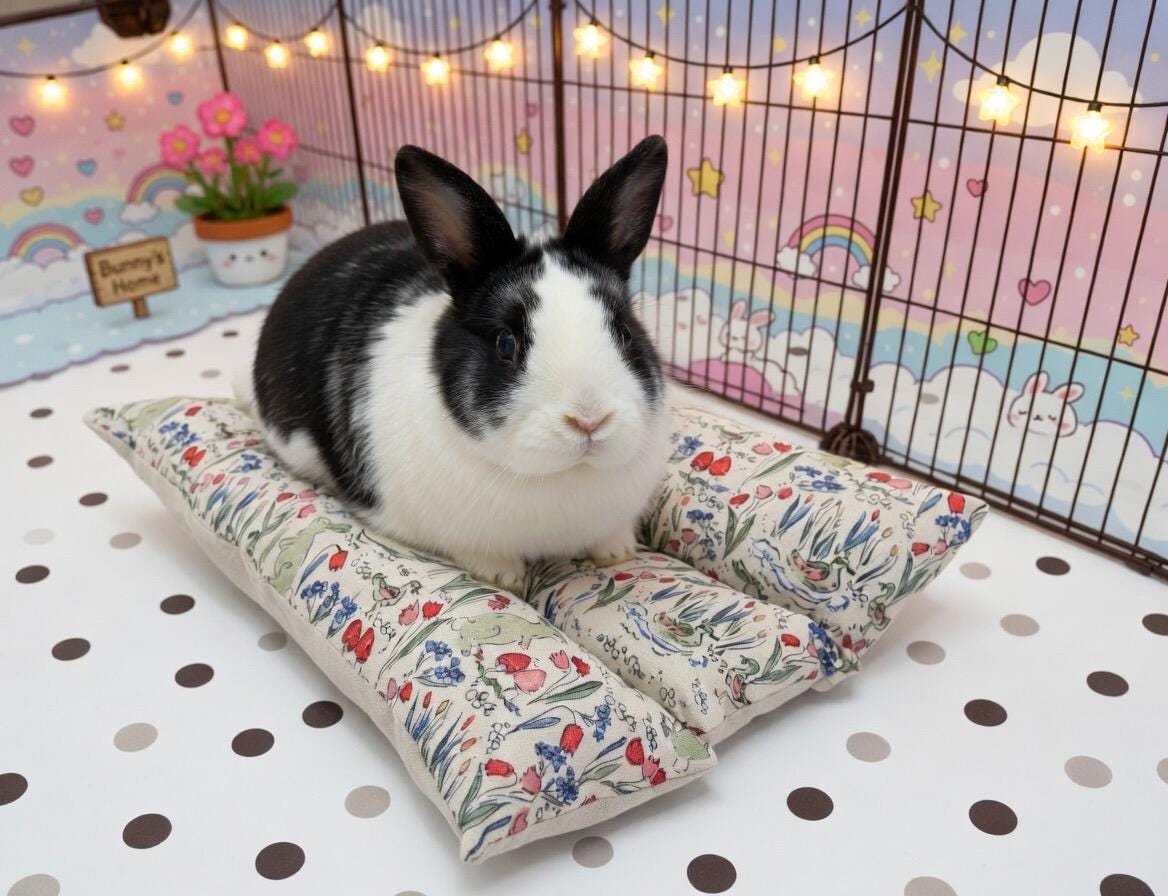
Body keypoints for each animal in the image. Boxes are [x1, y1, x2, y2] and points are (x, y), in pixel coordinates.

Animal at [245, 136, 670, 592]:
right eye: (506, 344)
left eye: (625, 332)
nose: (590, 419)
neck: (563, 477)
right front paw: (504, 577)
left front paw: (617, 552)